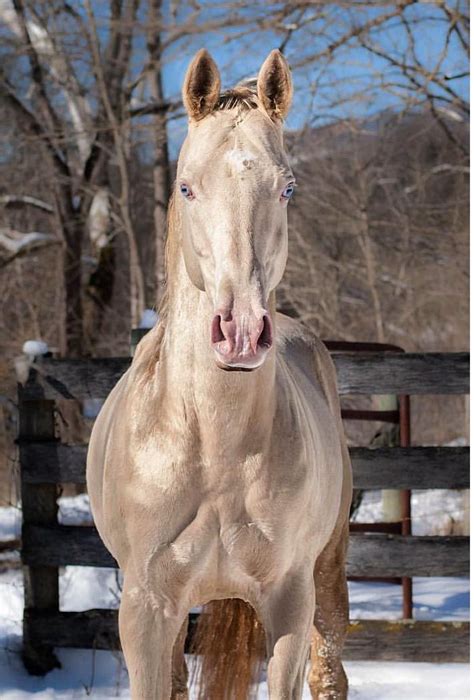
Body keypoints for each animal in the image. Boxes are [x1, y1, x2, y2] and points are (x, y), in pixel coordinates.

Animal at [87, 49, 352, 700]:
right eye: (186, 187)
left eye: (287, 187)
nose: (240, 331)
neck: (214, 447)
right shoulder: (147, 609)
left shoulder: (289, 599)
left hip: (328, 576)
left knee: (329, 674)